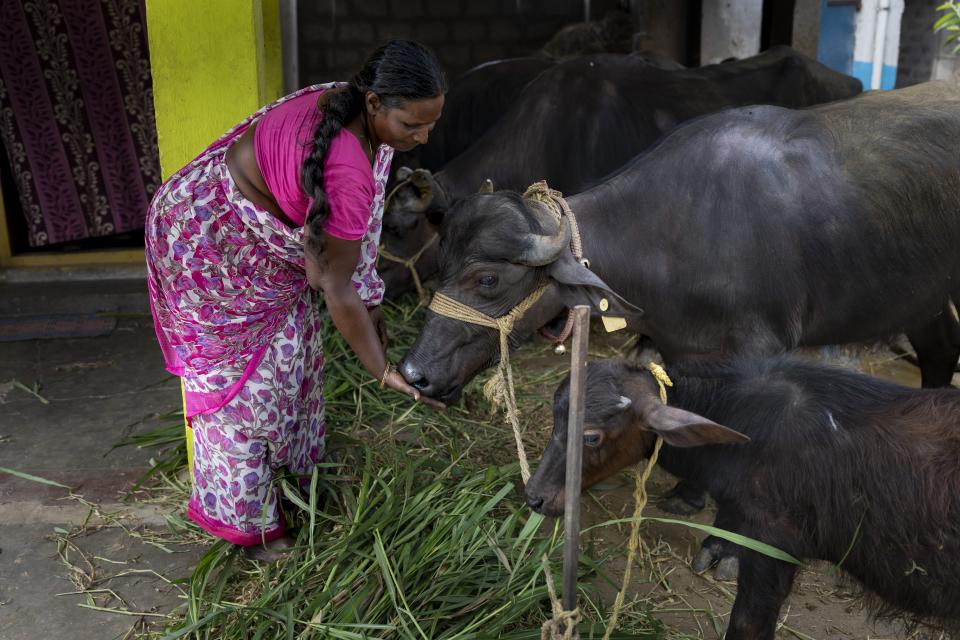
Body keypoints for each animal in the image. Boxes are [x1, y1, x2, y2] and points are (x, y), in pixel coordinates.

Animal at [402, 79, 960, 400]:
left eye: (487, 279)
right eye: (440, 263)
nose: (413, 372)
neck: (671, 239)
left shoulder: (758, 355)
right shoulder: (681, 353)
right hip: (922, 296)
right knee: (939, 353)